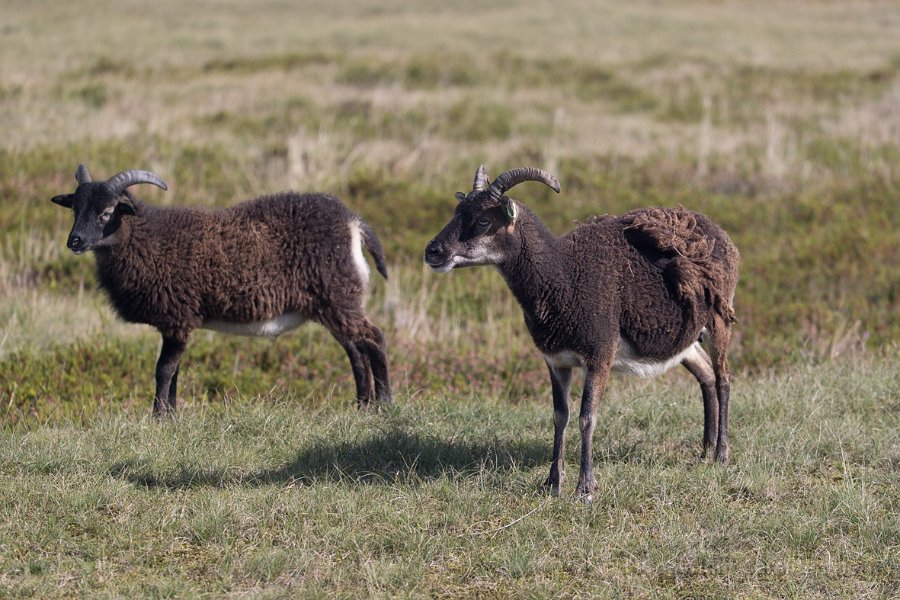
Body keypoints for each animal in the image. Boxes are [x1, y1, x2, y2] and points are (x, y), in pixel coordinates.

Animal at [50, 166, 390, 414]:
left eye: (107, 212)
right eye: (75, 210)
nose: (75, 241)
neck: (147, 239)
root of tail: (353, 223)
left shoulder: (179, 317)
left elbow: (164, 370)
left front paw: (158, 417)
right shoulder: (177, 323)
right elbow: (174, 371)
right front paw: (172, 416)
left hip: (339, 296)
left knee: (374, 339)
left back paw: (384, 403)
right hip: (335, 303)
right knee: (356, 350)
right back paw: (362, 406)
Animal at [426, 165, 740, 502]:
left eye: (484, 220)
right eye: (457, 211)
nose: (432, 251)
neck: (563, 274)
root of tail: (717, 231)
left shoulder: (599, 355)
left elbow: (587, 417)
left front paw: (585, 488)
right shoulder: (556, 361)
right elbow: (559, 416)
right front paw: (552, 483)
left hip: (720, 321)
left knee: (723, 379)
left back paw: (721, 455)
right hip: (686, 341)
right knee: (705, 375)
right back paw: (703, 452)